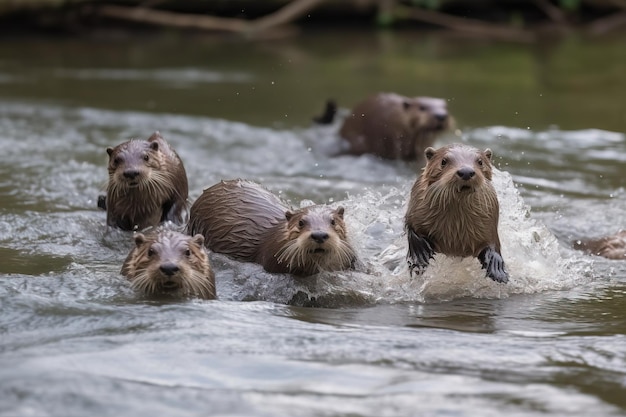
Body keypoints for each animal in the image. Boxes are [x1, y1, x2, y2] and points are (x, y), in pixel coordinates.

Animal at [404, 143, 508, 282]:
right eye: (443, 161)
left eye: (480, 162)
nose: (466, 172)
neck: (455, 231)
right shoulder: (414, 210)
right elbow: (412, 230)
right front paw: (420, 257)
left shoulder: (490, 227)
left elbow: (493, 246)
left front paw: (497, 271)